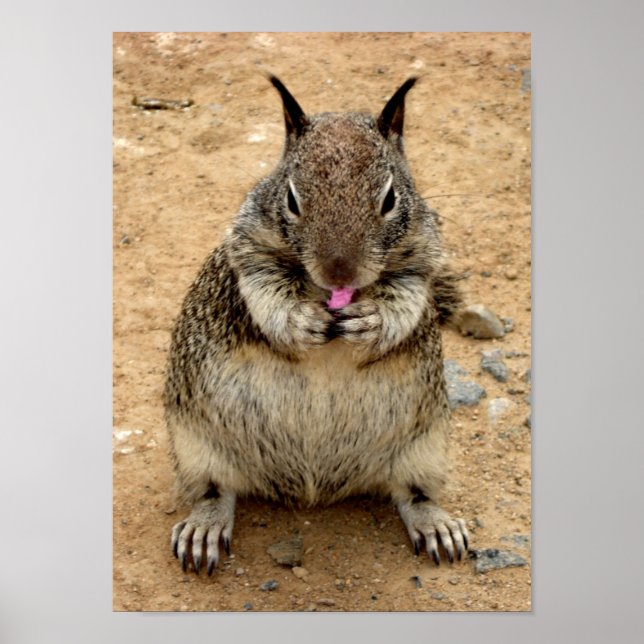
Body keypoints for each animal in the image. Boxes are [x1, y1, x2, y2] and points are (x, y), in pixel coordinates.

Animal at [164, 75, 468, 575]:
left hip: (425, 448)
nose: (339, 272)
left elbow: (404, 301)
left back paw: (437, 525)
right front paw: (303, 322)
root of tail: (312, 490)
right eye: (291, 198)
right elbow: (268, 295)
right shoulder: (249, 251)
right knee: (214, 489)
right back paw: (204, 528)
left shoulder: (422, 257)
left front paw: (371, 321)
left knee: (413, 494)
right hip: (195, 445)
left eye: (389, 198)